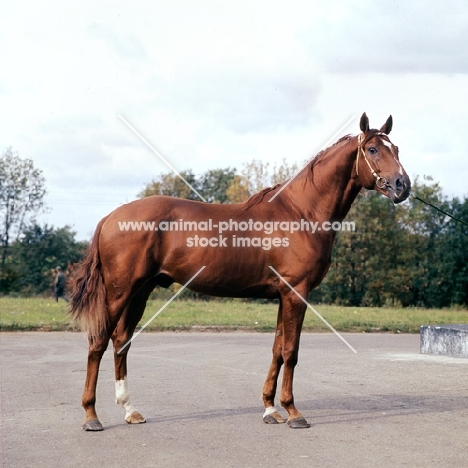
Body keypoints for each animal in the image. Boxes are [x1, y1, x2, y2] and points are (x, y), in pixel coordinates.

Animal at [69, 113, 410, 432]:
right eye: (373, 149)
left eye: (396, 148)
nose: (402, 186)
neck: (301, 213)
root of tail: (110, 217)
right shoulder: (296, 292)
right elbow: (291, 351)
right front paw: (293, 412)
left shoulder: (283, 296)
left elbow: (277, 350)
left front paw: (271, 409)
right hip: (120, 291)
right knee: (99, 341)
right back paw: (91, 416)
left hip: (141, 290)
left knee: (122, 340)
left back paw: (130, 410)